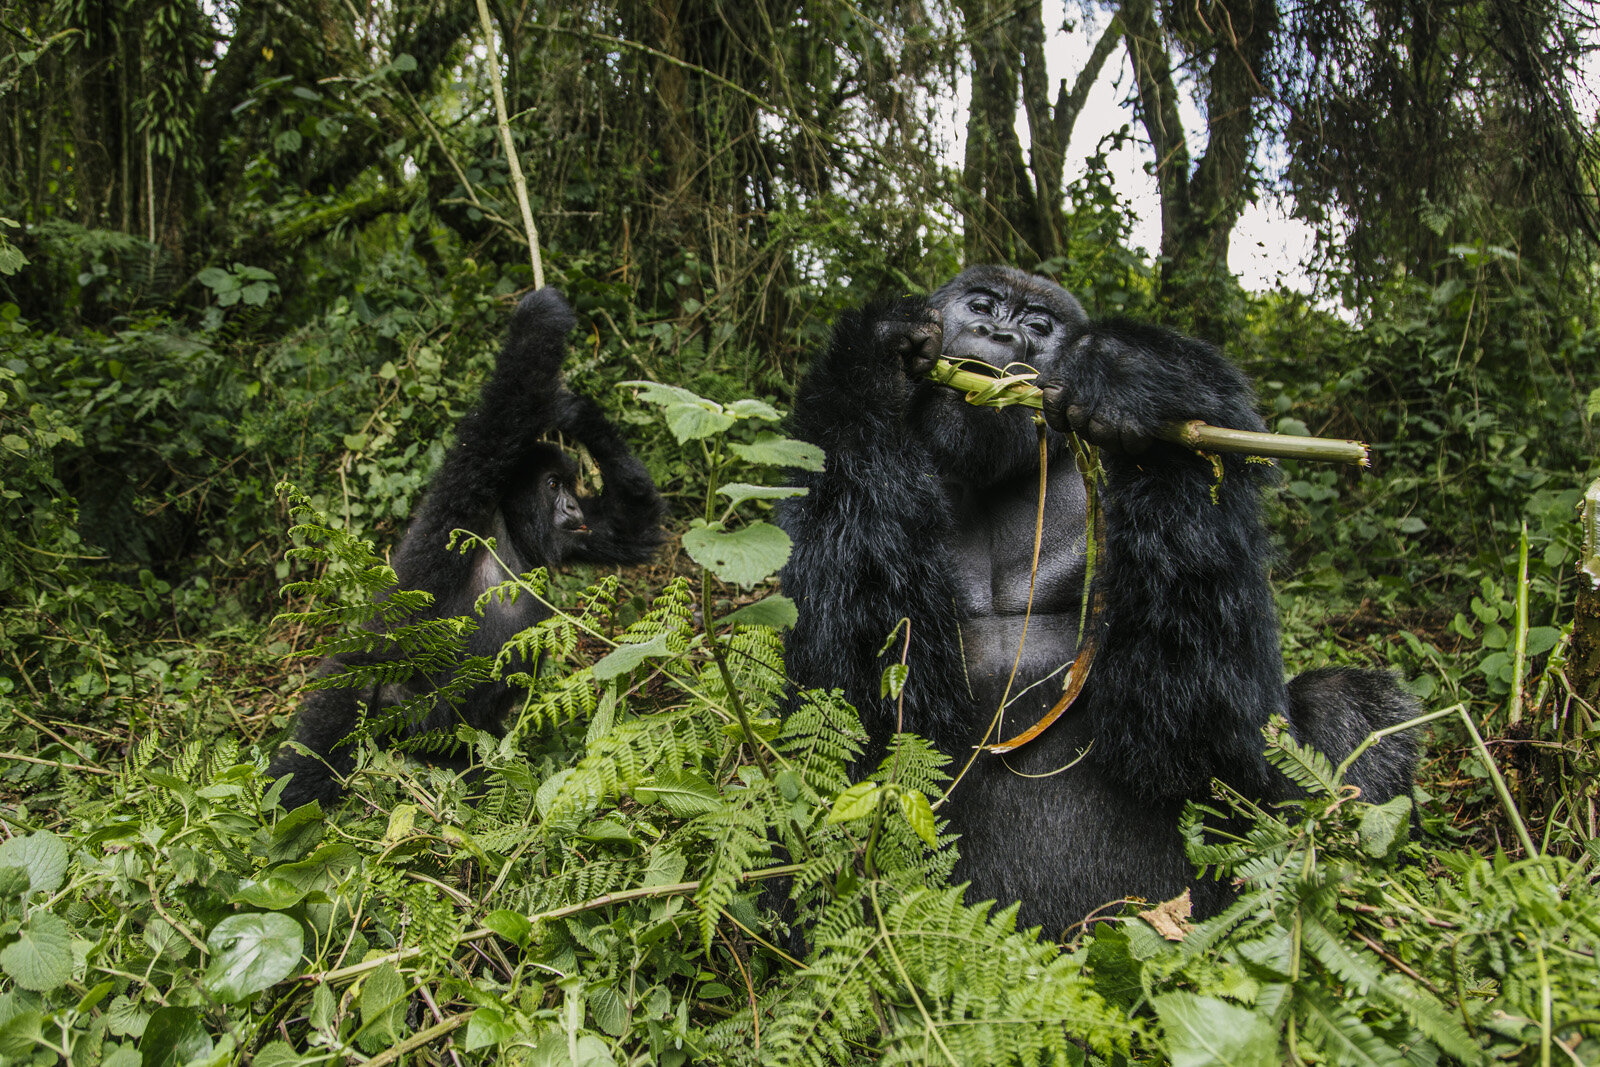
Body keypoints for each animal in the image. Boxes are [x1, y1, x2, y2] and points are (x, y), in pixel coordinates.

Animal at [272, 289, 659, 809]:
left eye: (571, 483)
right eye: (552, 484)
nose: (574, 504)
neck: (510, 531)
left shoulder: (576, 531)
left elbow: (630, 526)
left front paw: (581, 413)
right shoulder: (465, 496)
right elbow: (503, 411)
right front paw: (540, 313)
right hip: (403, 719)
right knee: (360, 695)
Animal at [780, 265, 1420, 934]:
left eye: (1040, 326)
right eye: (980, 305)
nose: (1002, 334)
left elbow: (1206, 728)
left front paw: (1130, 377)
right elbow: (856, 680)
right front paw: (876, 358)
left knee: (1344, 700)